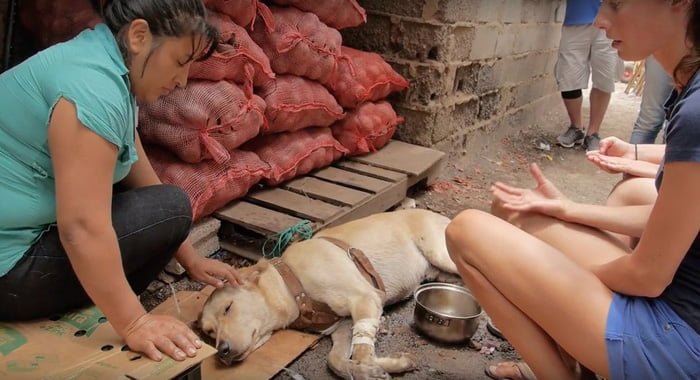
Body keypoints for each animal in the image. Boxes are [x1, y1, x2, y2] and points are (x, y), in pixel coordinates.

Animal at [197, 209, 460, 378]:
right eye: (209, 333)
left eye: (228, 308)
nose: (222, 352)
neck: (293, 285)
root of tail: (443, 216)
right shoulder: (342, 326)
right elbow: (335, 361)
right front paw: (369, 370)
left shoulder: (364, 299)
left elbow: (363, 353)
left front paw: (378, 367)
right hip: (441, 271)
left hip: (441, 253)